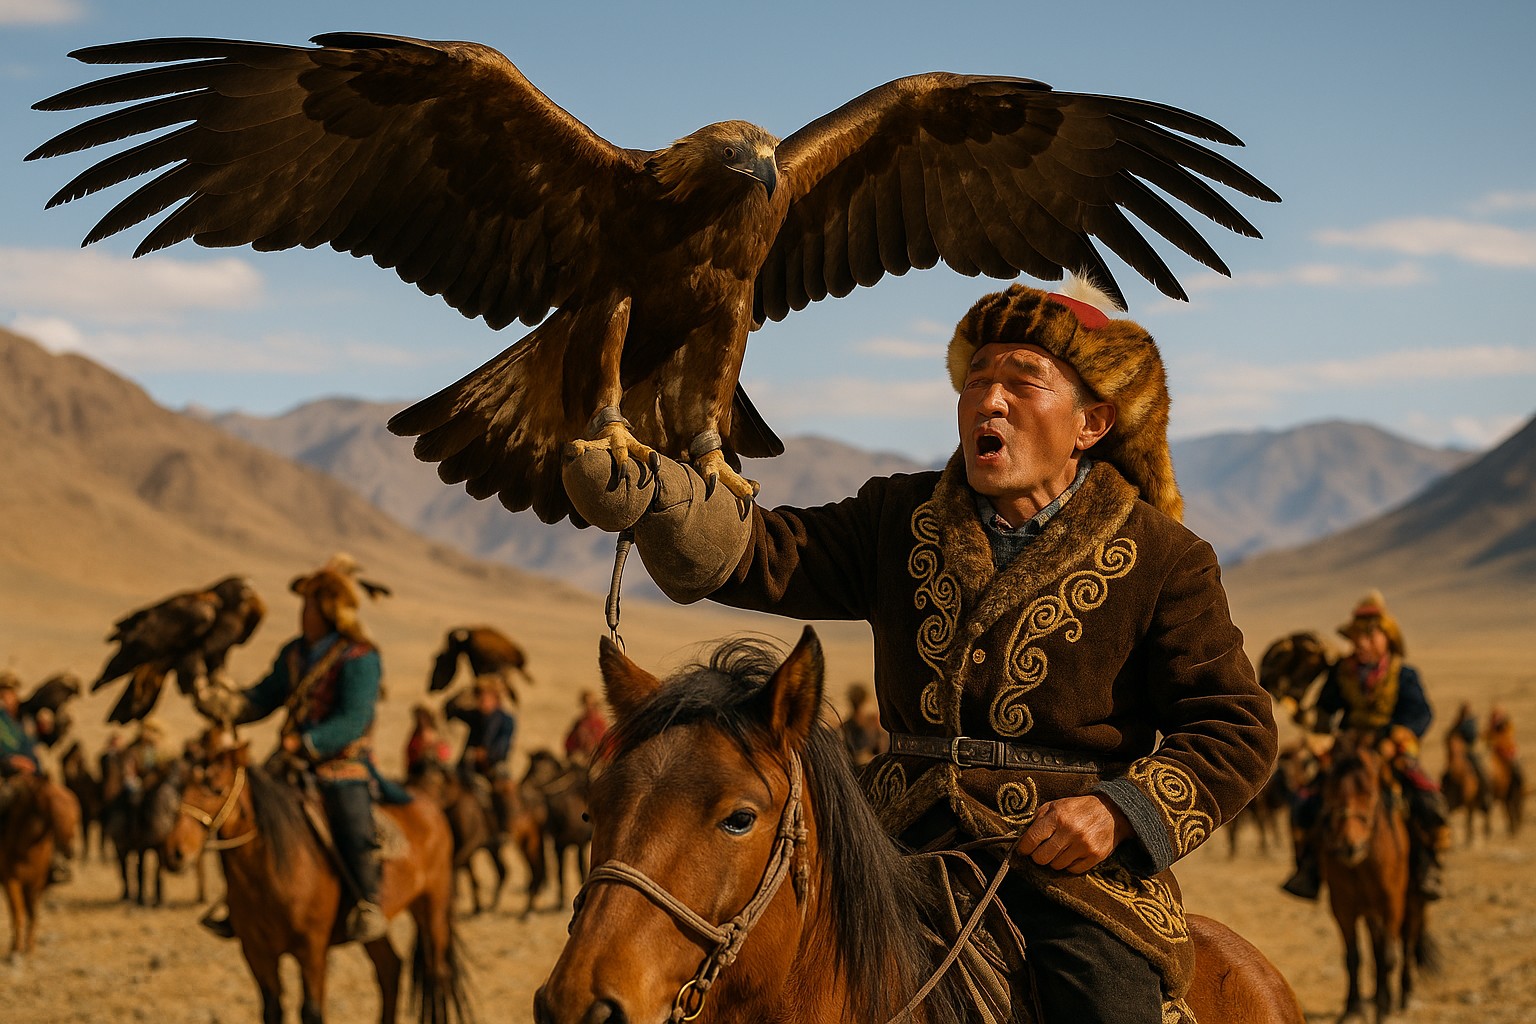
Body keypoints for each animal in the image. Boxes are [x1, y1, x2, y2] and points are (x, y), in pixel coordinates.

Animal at [0, 773, 80, 959]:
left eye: (75, 808)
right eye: (57, 809)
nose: (69, 852)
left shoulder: (37, 883)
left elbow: (33, 914)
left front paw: (30, 946)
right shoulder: (11, 881)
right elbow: (18, 913)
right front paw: (16, 947)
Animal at [162, 742, 472, 1024]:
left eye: (216, 789)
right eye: (181, 787)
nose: (176, 852)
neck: (272, 878)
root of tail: (430, 806)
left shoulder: (312, 949)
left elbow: (311, 1012)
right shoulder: (255, 952)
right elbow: (272, 1011)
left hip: (432, 904)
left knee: (437, 973)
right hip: (374, 929)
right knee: (390, 969)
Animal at [1318, 731, 1433, 1023]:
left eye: (1369, 792)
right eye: (1329, 790)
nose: (1350, 846)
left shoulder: (1392, 903)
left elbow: (1390, 956)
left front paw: (1382, 1009)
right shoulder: (1343, 907)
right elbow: (1354, 957)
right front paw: (1353, 1008)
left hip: (1412, 902)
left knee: (1406, 943)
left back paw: (1402, 995)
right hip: (1370, 911)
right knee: (1377, 948)